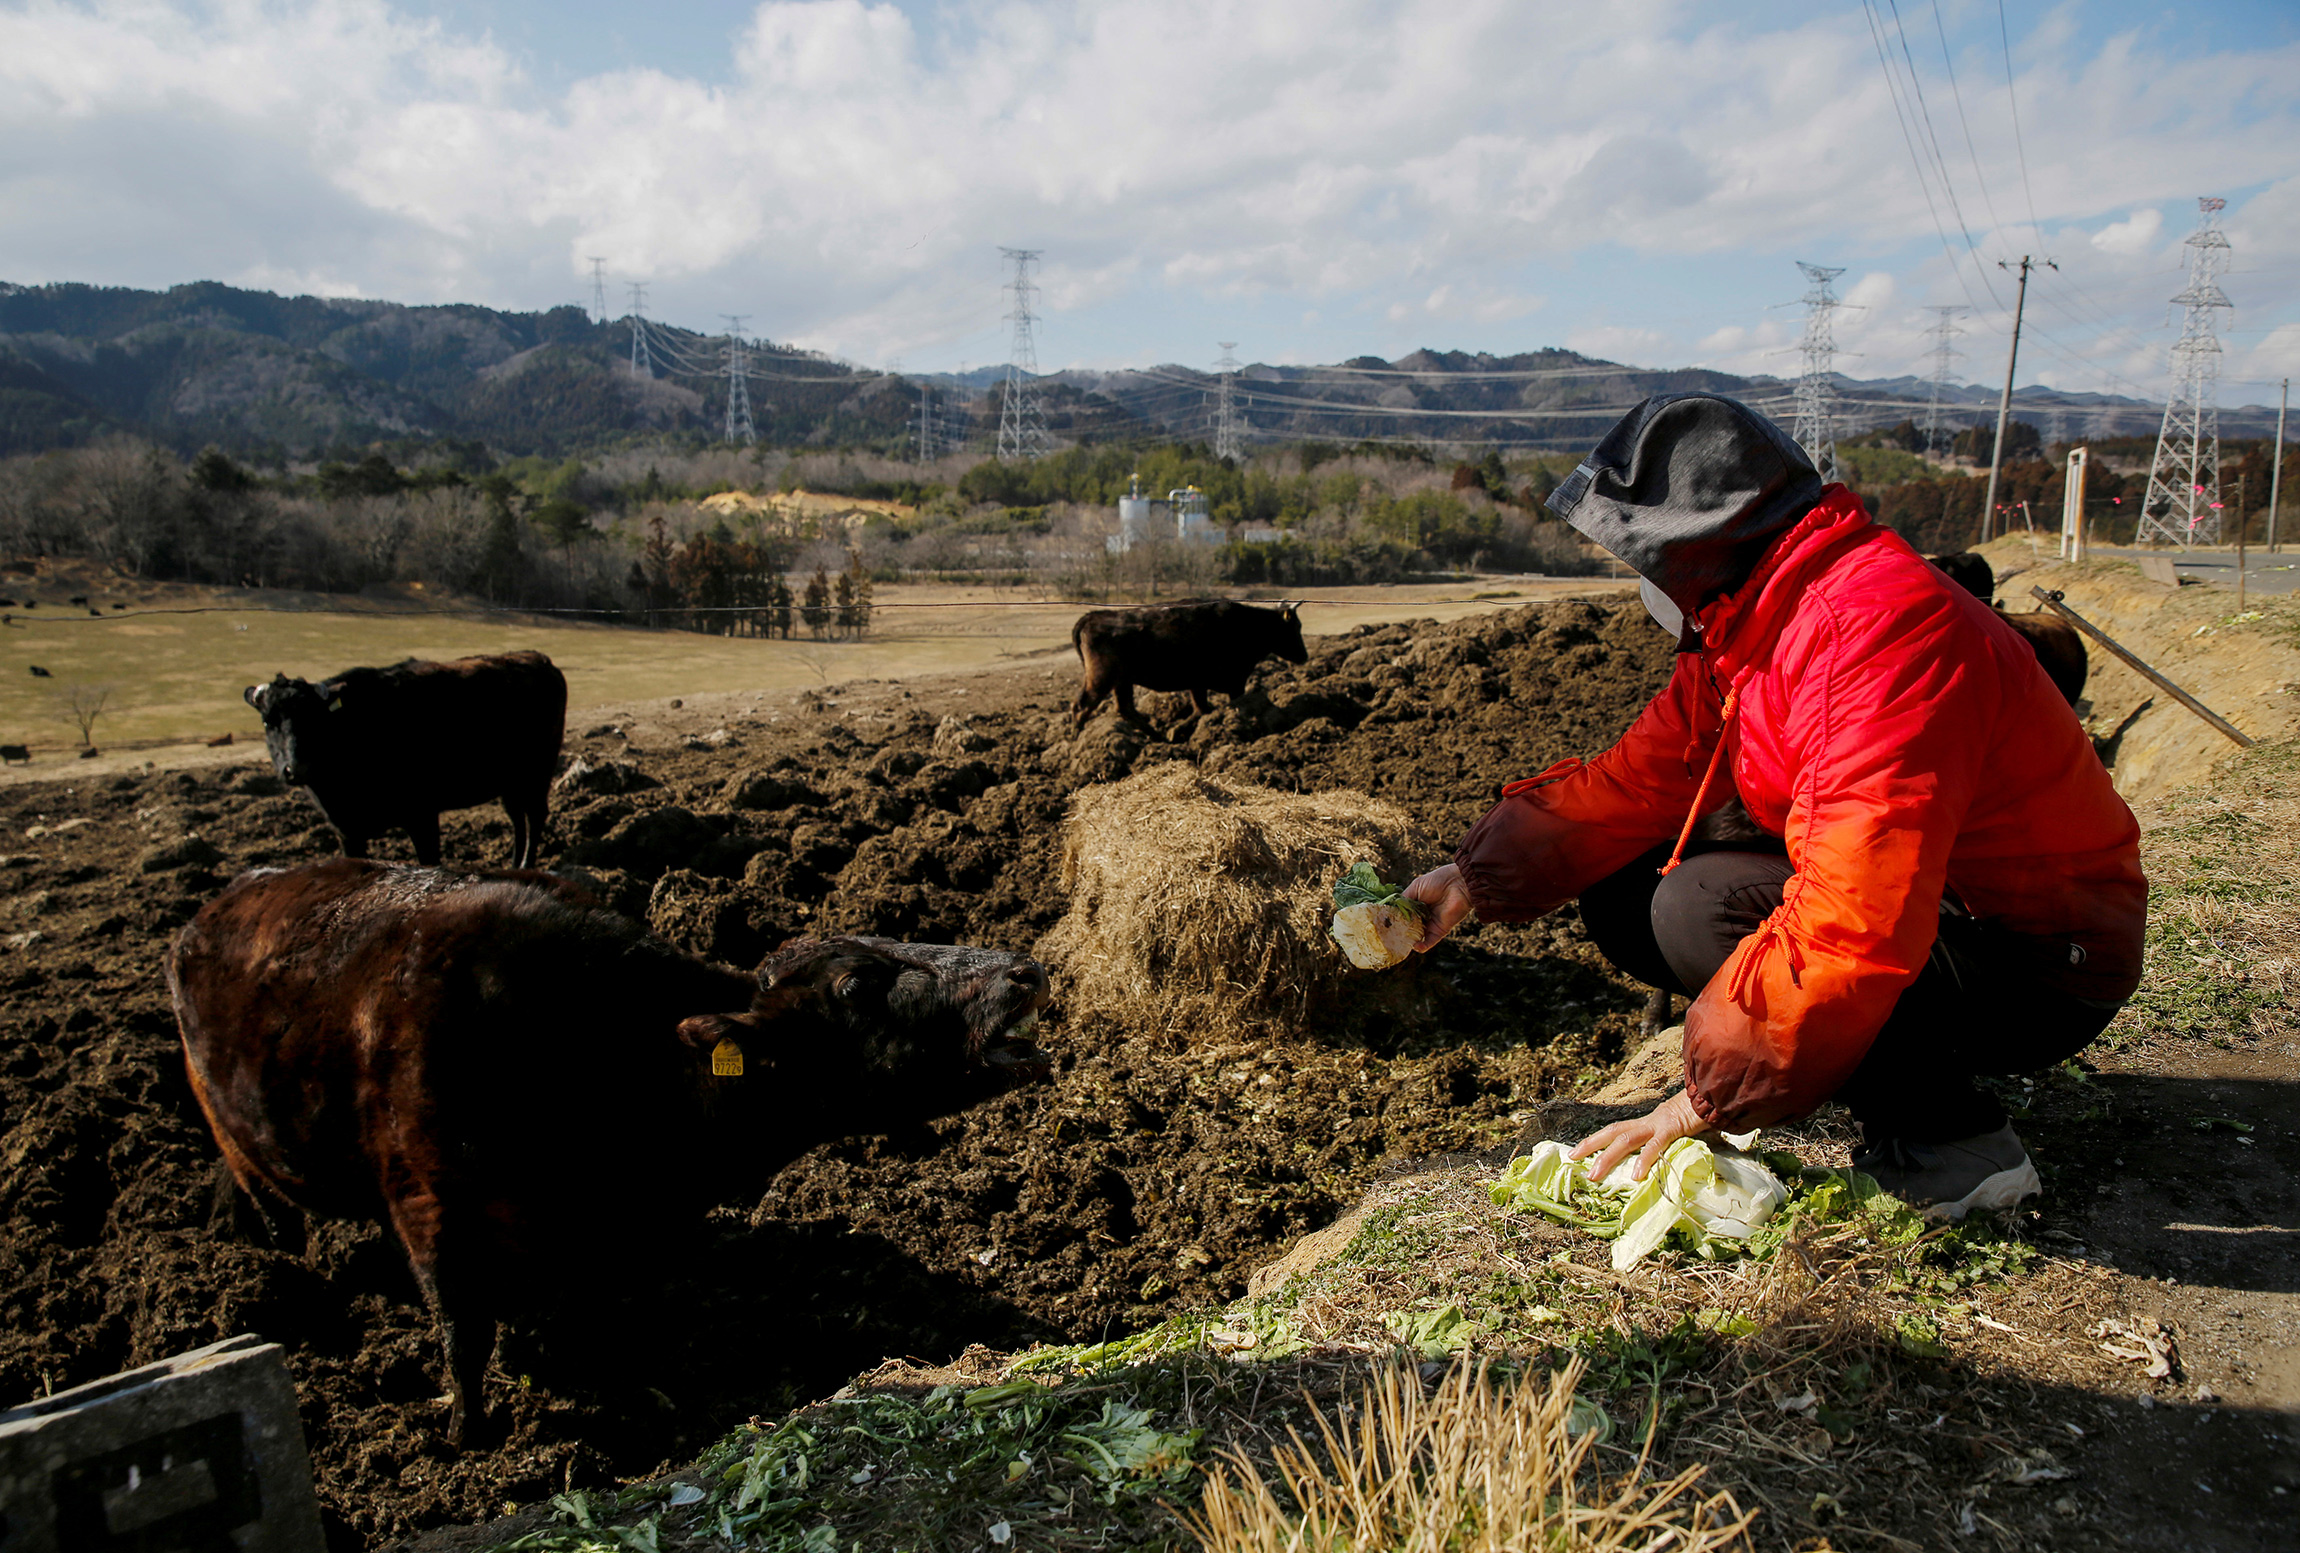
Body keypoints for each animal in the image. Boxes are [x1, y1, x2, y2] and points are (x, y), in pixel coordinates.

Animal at [164, 860, 1053, 1444]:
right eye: (858, 986)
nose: (1025, 970)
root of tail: (214, 906)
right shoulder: (431, 1210)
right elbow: (462, 1337)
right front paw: (466, 1436)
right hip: (240, 1136)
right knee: (266, 1200)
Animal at [243, 648, 570, 869]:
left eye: (315, 718)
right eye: (267, 721)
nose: (296, 768)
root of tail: (539, 659)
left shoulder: (422, 815)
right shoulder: (347, 832)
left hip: (538, 771)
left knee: (535, 815)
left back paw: (527, 865)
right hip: (508, 782)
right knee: (517, 817)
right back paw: (514, 865)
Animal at [1067, 602, 1306, 736]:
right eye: (1296, 626)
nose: (1305, 656)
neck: (1247, 625)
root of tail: (1091, 616)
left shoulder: (1199, 683)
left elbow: (1201, 709)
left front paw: (1178, 730)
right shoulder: (1233, 682)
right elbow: (1211, 708)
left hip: (1122, 681)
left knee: (1125, 709)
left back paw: (1158, 737)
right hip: (1101, 679)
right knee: (1081, 707)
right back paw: (1075, 739)